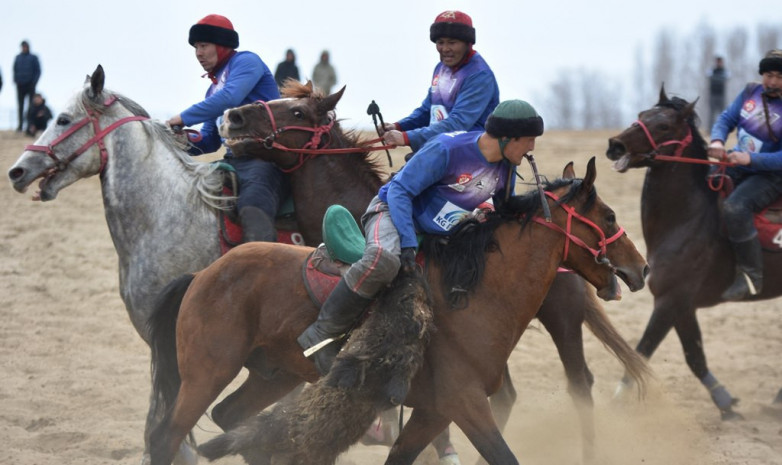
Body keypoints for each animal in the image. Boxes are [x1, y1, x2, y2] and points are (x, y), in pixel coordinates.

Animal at [147, 157, 648, 464]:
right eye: (607, 216)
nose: (640, 268)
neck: (473, 293)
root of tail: (203, 275)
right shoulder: (464, 403)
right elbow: (503, 455)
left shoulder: (433, 412)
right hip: (206, 372)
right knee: (167, 436)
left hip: (273, 374)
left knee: (230, 418)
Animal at [608, 87, 782, 420]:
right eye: (641, 115)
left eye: (664, 126)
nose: (615, 145)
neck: (688, 220)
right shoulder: (681, 305)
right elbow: (694, 355)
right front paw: (725, 402)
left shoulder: (671, 300)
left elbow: (644, 350)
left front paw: (617, 401)